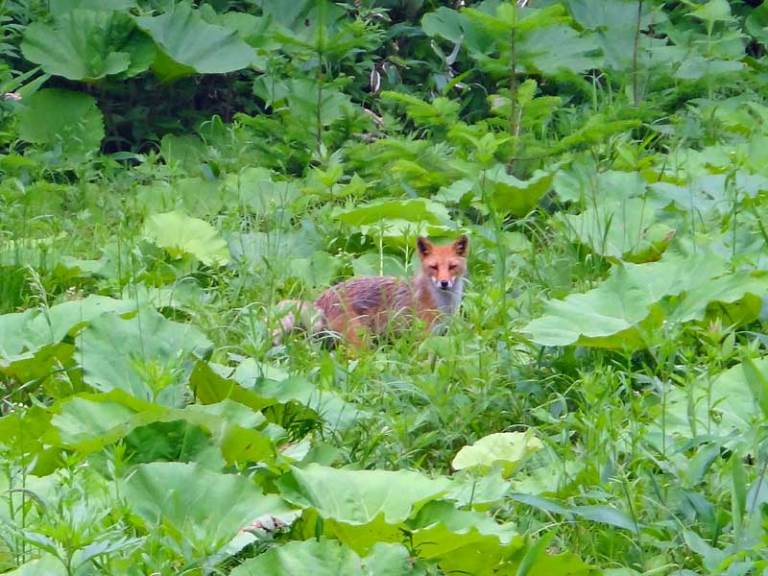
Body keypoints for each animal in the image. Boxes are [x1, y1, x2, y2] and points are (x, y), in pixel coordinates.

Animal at [272, 233, 472, 346]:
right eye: (434, 267)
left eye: (452, 267)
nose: (444, 283)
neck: (443, 304)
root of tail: (320, 300)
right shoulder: (423, 336)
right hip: (361, 341)